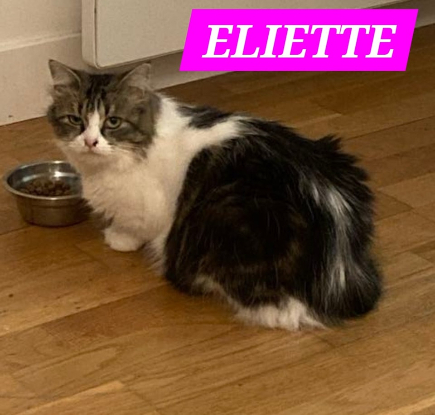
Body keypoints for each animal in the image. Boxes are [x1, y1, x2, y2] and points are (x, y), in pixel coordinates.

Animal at [47, 60, 382, 330]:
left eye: (113, 122)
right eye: (76, 120)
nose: (90, 142)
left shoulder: (149, 208)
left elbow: (134, 228)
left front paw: (119, 238)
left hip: (230, 212)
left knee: (278, 312)